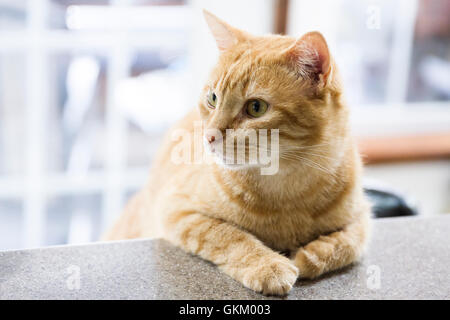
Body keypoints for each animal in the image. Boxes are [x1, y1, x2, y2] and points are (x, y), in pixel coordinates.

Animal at [103, 10, 370, 296]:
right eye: (212, 98)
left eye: (256, 107)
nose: (209, 136)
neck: (285, 189)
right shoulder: (178, 209)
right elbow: (230, 236)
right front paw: (268, 266)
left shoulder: (363, 218)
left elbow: (347, 243)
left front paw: (308, 256)